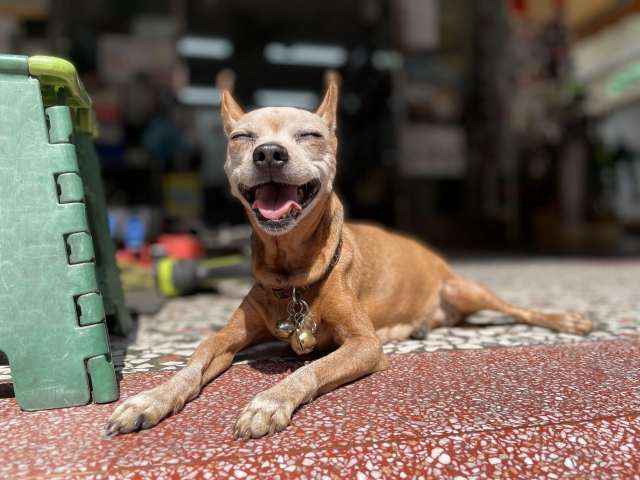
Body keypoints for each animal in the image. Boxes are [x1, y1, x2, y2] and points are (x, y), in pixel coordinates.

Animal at [104, 85, 592, 438]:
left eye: (310, 135)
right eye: (242, 138)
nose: (269, 153)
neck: (293, 274)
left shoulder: (363, 343)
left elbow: (313, 368)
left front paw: (269, 401)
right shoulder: (228, 337)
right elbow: (198, 357)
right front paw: (152, 399)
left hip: (466, 288)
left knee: (519, 310)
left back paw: (565, 320)